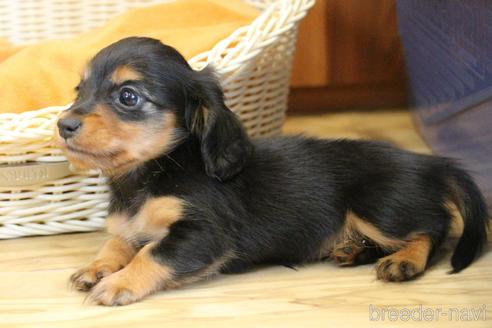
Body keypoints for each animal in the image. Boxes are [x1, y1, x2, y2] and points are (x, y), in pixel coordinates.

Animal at [56, 37, 488, 306]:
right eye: (79, 90)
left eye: (128, 96)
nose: (63, 125)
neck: (151, 174)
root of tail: (430, 162)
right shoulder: (130, 226)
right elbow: (118, 243)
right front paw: (96, 267)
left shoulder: (204, 233)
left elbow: (151, 253)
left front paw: (119, 282)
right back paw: (352, 249)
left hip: (379, 208)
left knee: (433, 229)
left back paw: (405, 261)